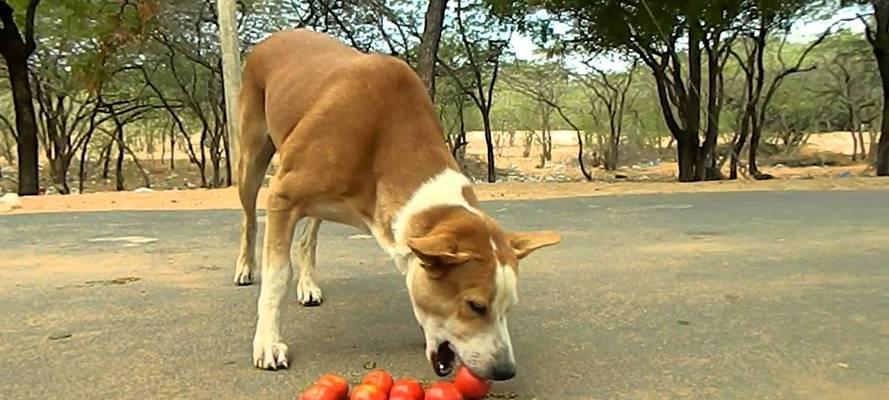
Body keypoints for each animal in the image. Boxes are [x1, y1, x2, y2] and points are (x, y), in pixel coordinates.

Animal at [232, 28, 560, 382]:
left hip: (314, 202)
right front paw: (268, 343)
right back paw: (245, 267)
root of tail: (278, 36)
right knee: (249, 219)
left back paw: (308, 284)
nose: (505, 371)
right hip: (252, 161)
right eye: (475, 306)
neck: (383, 137)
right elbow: (277, 277)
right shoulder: (283, 197)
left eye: (508, 308)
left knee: (308, 238)